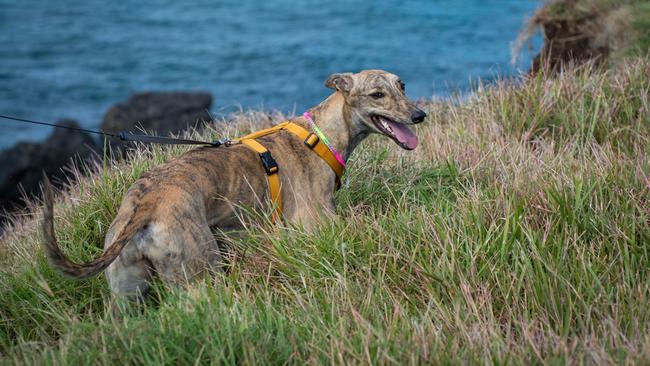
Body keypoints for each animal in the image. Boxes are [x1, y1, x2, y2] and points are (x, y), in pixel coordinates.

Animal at [40, 69, 426, 300]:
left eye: (402, 86)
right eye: (377, 94)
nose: (420, 115)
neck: (322, 134)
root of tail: (144, 205)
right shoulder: (315, 225)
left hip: (127, 292)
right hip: (200, 273)